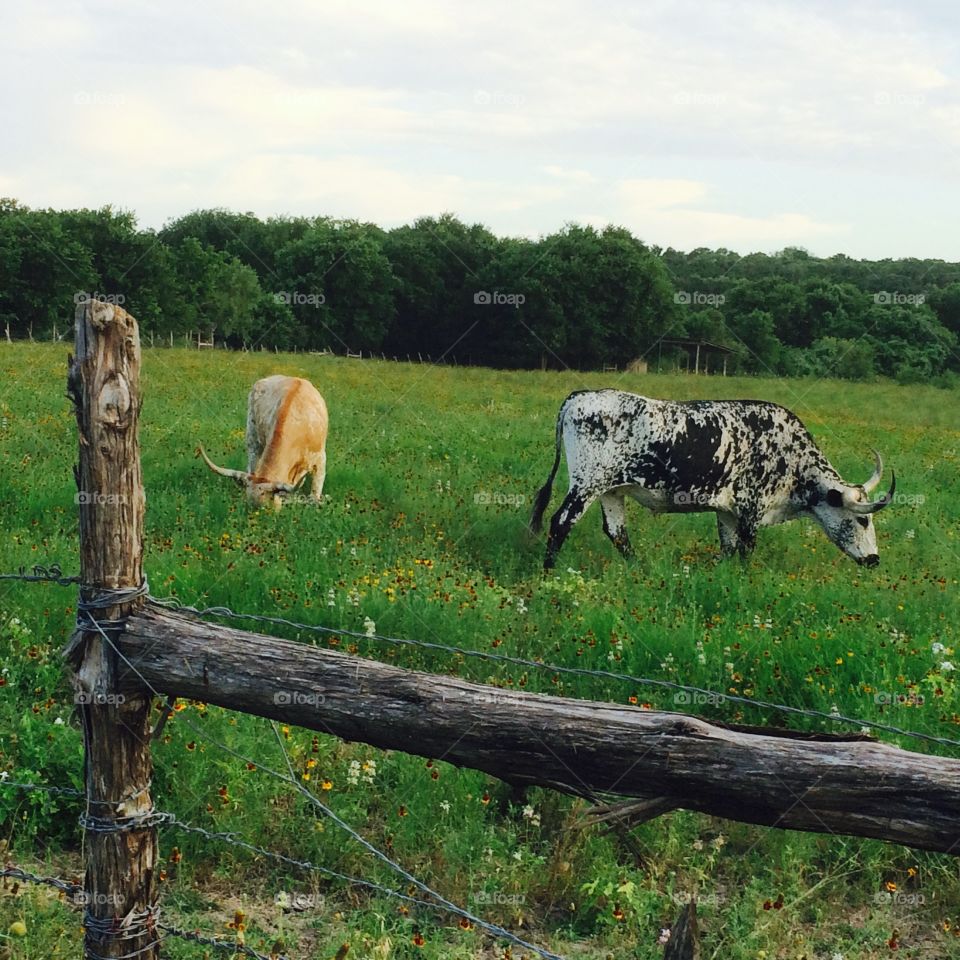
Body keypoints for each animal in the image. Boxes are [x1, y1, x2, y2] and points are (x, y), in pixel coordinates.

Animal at [529, 389, 895, 569]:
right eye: (862, 521)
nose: (875, 560)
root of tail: (580, 396)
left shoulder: (726, 512)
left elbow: (728, 548)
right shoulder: (751, 509)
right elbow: (746, 550)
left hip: (612, 490)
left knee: (617, 532)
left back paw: (639, 570)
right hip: (586, 484)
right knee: (561, 522)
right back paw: (548, 570)